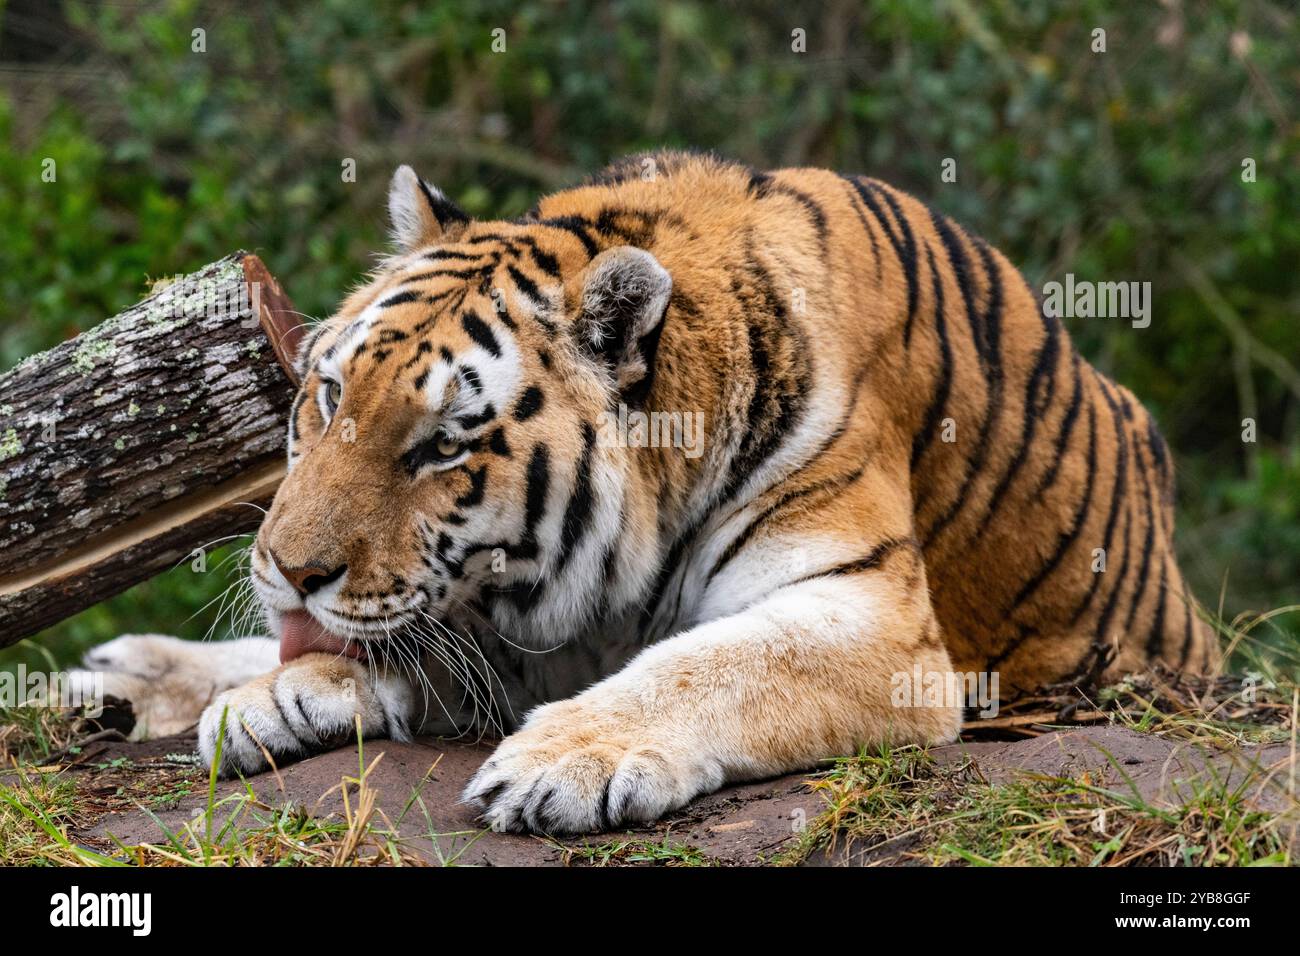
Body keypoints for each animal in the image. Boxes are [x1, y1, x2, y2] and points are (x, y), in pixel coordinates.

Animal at [79, 150, 1214, 834]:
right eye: (326, 396)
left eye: (443, 444)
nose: (286, 569)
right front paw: (277, 694)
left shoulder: (874, 618)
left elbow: (711, 663)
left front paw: (562, 760)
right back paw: (123, 674)